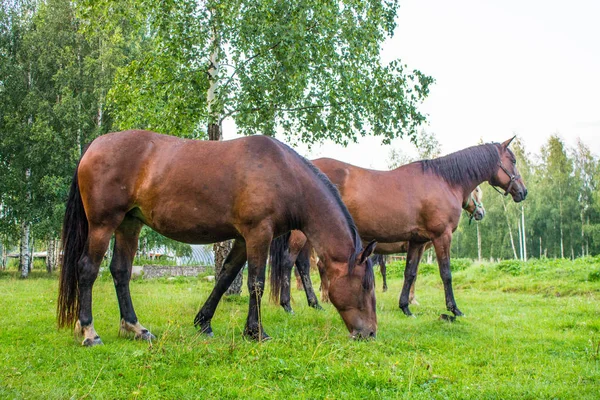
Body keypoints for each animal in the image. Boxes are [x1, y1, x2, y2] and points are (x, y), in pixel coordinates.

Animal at [56, 130, 376, 346]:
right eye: (365, 285)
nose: (370, 333)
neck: (283, 173)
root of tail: (94, 146)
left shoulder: (244, 239)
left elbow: (225, 277)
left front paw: (204, 323)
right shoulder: (258, 233)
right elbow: (256, 283)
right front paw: (256, 332)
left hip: (129, 224)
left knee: (121, 271)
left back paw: (136, 328)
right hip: (103, 224)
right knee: (87, 269)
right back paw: (89, 332)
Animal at [270, 139, 524, 318]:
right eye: (512, 160)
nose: (523, 191)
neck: (443, 181)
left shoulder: (417, 241)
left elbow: (410, 273)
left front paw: (406, 307)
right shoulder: (441, 236)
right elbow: (446, 273)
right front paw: (454, 309)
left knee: (302, 266)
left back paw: (315, 304)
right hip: (302, 236)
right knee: (289, 262)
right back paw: (288, 305)